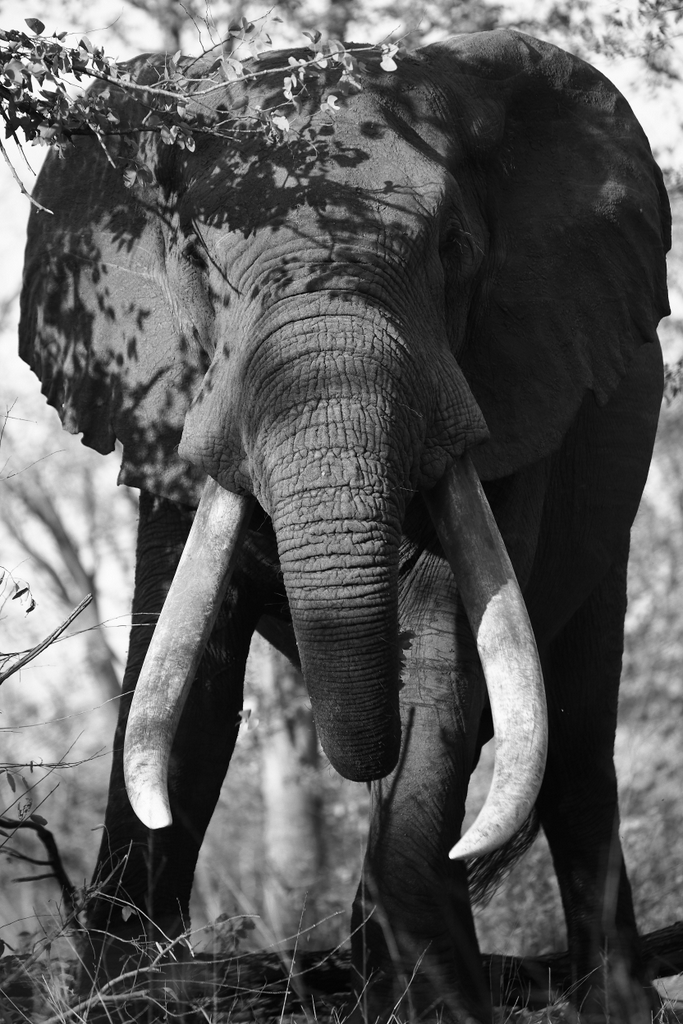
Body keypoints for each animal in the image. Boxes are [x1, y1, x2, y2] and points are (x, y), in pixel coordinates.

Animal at [18, 25, 671, 1024]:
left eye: (453, 248)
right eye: (199, 263)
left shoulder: (514, 397)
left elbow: (442, 664)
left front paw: (436, 1006)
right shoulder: (166, 409)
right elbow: (185, 697)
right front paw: (122, 993)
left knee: (574, 747)